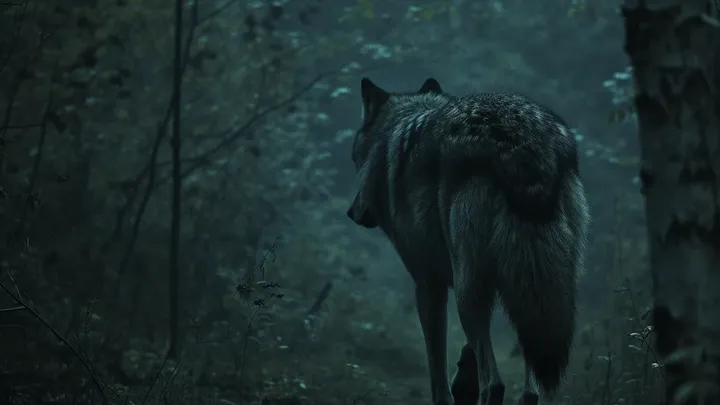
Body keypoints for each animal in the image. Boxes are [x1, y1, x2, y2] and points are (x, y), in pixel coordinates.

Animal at [346, 77, 590, 405]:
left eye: (354, 160)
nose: (351, 212)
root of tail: (519, 141)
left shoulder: (428, 284)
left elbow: (437, 370)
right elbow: (468, 350)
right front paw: (463, 380)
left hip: (467, 292)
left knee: (495, 383)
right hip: (538, 295)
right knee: (530, 390)